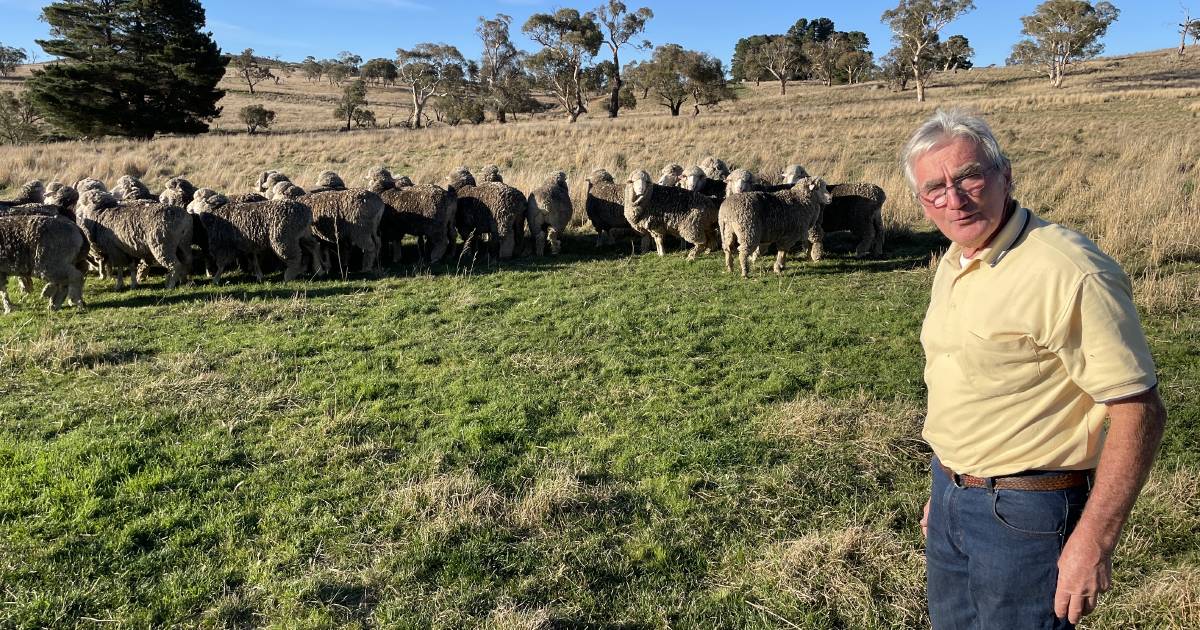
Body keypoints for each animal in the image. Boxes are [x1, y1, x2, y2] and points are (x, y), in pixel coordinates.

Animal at [186, 186, 321, 280]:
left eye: (199, 200)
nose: (187, 208)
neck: (216, 212)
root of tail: (306, 212)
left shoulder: (223, 244)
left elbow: (221, 264)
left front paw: (216, 279)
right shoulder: (248, 242)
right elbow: (254, 259)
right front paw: (259, 275)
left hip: (283, 238)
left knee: (295, 257)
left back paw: (289, 276)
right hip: (303, 234)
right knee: (314, 246)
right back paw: (319, 269)